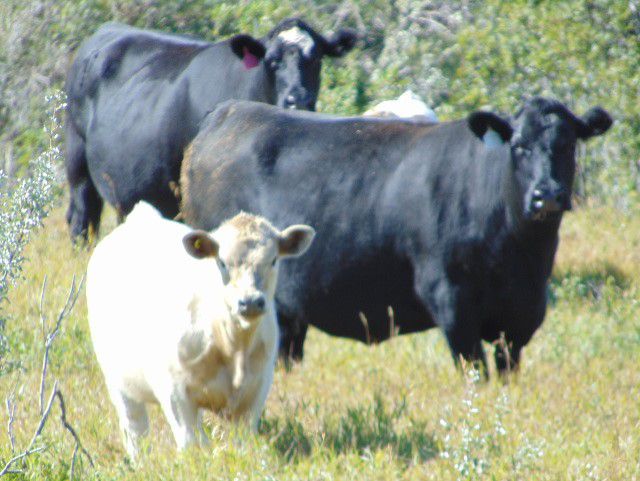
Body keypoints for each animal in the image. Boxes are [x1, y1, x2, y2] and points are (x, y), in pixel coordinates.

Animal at [86, 201, 314, 458]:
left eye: (273, 260)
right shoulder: (174, 393)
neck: (232, 346)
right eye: (221, 262)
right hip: (119, 383)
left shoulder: (256, 391)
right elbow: (191, 443)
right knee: (135, 429)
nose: (250, 302)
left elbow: (241, 444)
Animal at [180, 97, 612, 375]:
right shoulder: (452, 302)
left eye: (568, 144)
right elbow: (476, 373)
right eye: (519, 146)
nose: (546, 194)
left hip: (287, 308)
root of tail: (228, 112)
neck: (521, 257)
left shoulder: (521, 318)